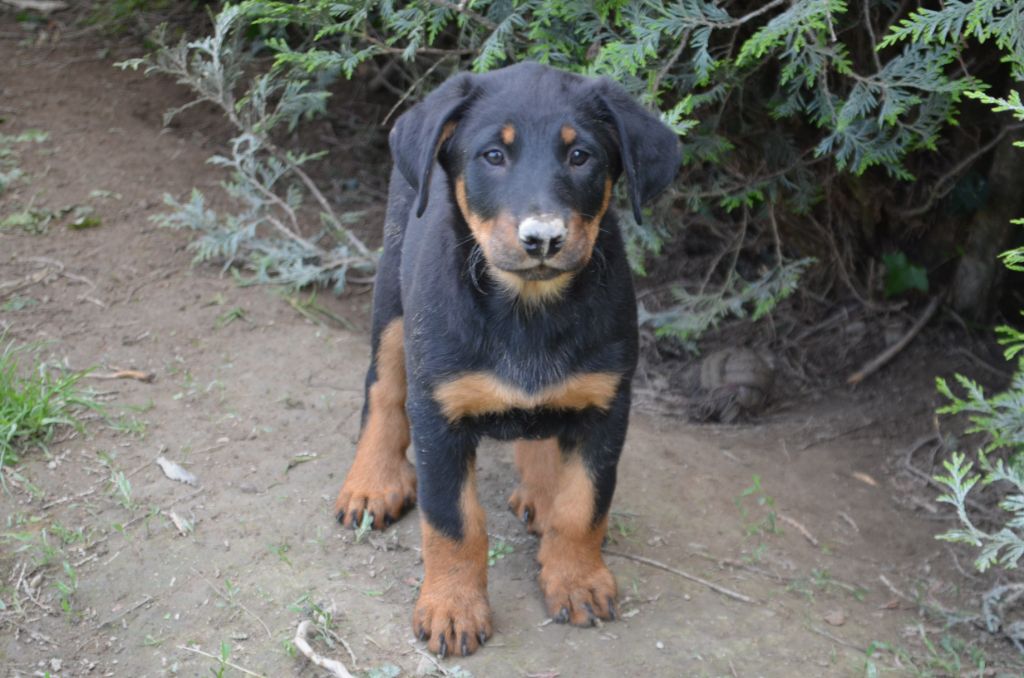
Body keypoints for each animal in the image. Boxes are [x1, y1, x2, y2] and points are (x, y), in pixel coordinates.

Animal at [334, 61, 680, 657]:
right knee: (383, 388)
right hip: (393, 299)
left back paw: (540, 487)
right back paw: (373, 480)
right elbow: (453, 522)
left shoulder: (608, 404)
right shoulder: (439, 412)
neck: (528, 310)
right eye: (493, 155)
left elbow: (583, 504)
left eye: (580, 155)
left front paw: (576, 579)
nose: (542, 238)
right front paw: (452, 607)